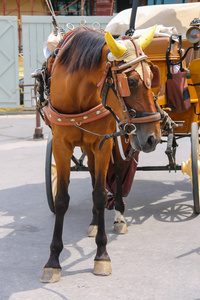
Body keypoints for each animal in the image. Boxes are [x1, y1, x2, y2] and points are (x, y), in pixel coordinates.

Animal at [40, 27, 161, 282]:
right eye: (131, 81)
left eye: (152, 76)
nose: (153, 137)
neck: (78, 92)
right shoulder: (61, 145)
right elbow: (62, 199)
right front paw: (53, 261)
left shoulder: (102, 144)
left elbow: (99, 194)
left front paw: (102, 256)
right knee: (94, 175)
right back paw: (96, 221)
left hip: (118, 138)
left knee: (116, 172)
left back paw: (119, 216)